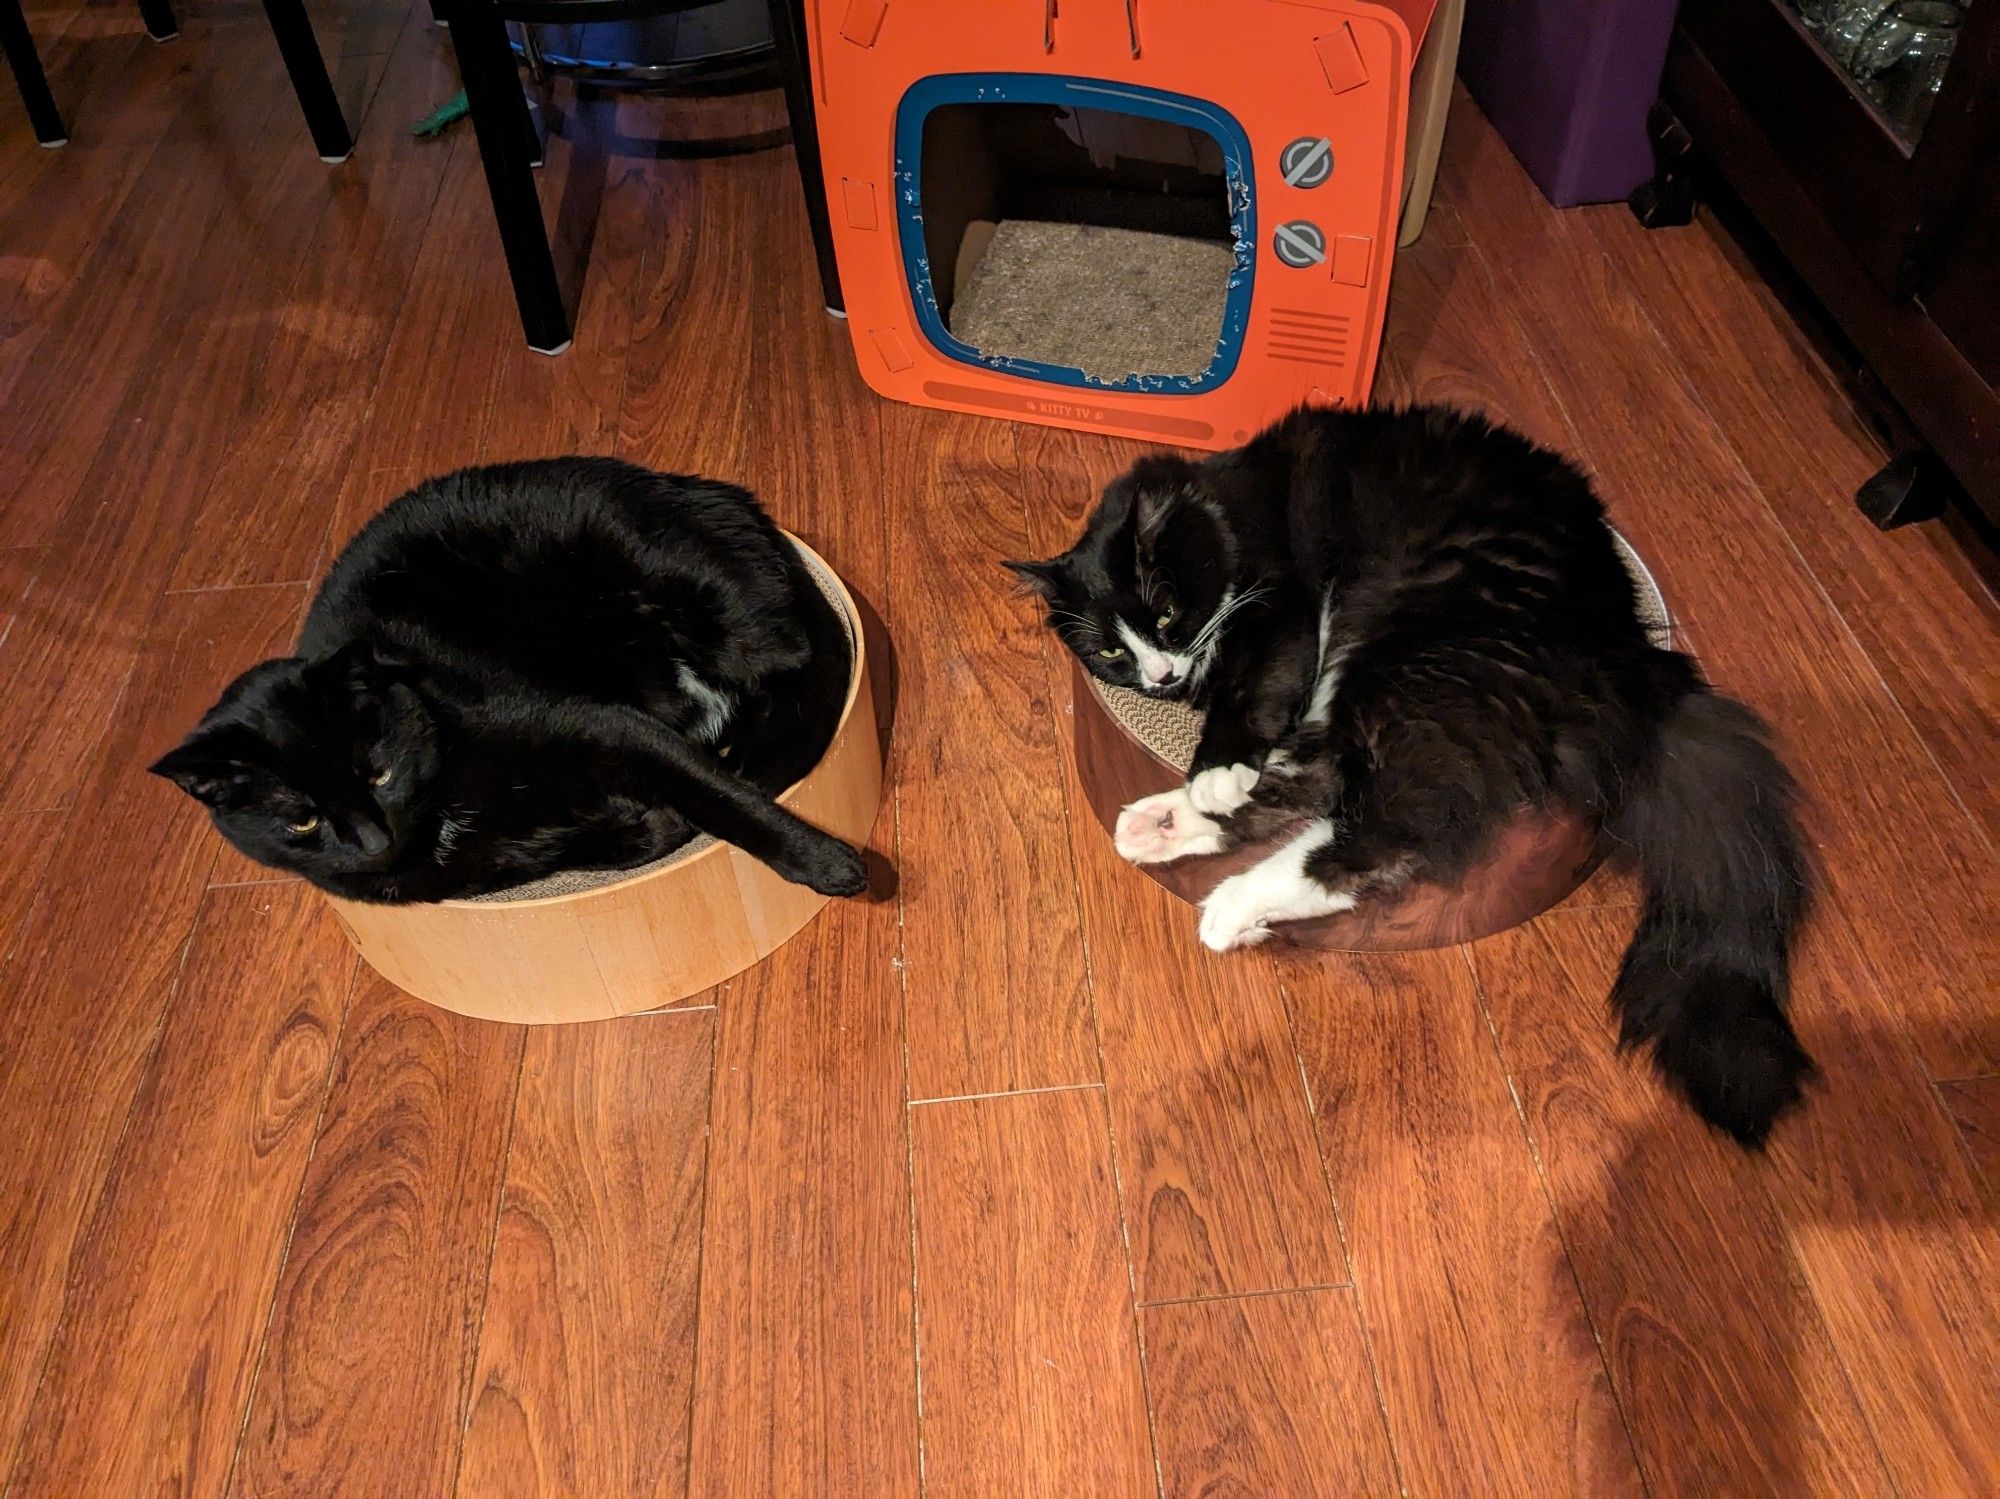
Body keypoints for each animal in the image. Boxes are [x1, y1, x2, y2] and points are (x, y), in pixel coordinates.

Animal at [152, 457, 872, 903]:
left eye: (377, 772)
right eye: (301, 820)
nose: (371, 839)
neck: (443, 810)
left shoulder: (601, 726)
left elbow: (717, 798)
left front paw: (826, 864)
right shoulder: (482, 868)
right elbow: (610, 845)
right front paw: (643, 825)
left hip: (683, 586)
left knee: (796, 663)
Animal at [1016, 401, 1816, 1151]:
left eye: (1166, 610)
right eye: (1110, 653)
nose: (1157, 673)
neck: (1229, 506)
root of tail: (1625, 648)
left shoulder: (1282, 607)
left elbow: (1251, 699)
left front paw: (1216, 767)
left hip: (1409, 659)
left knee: (1376, 835)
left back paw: (1226, 899)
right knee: (1330, 797)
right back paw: (1162, 830)